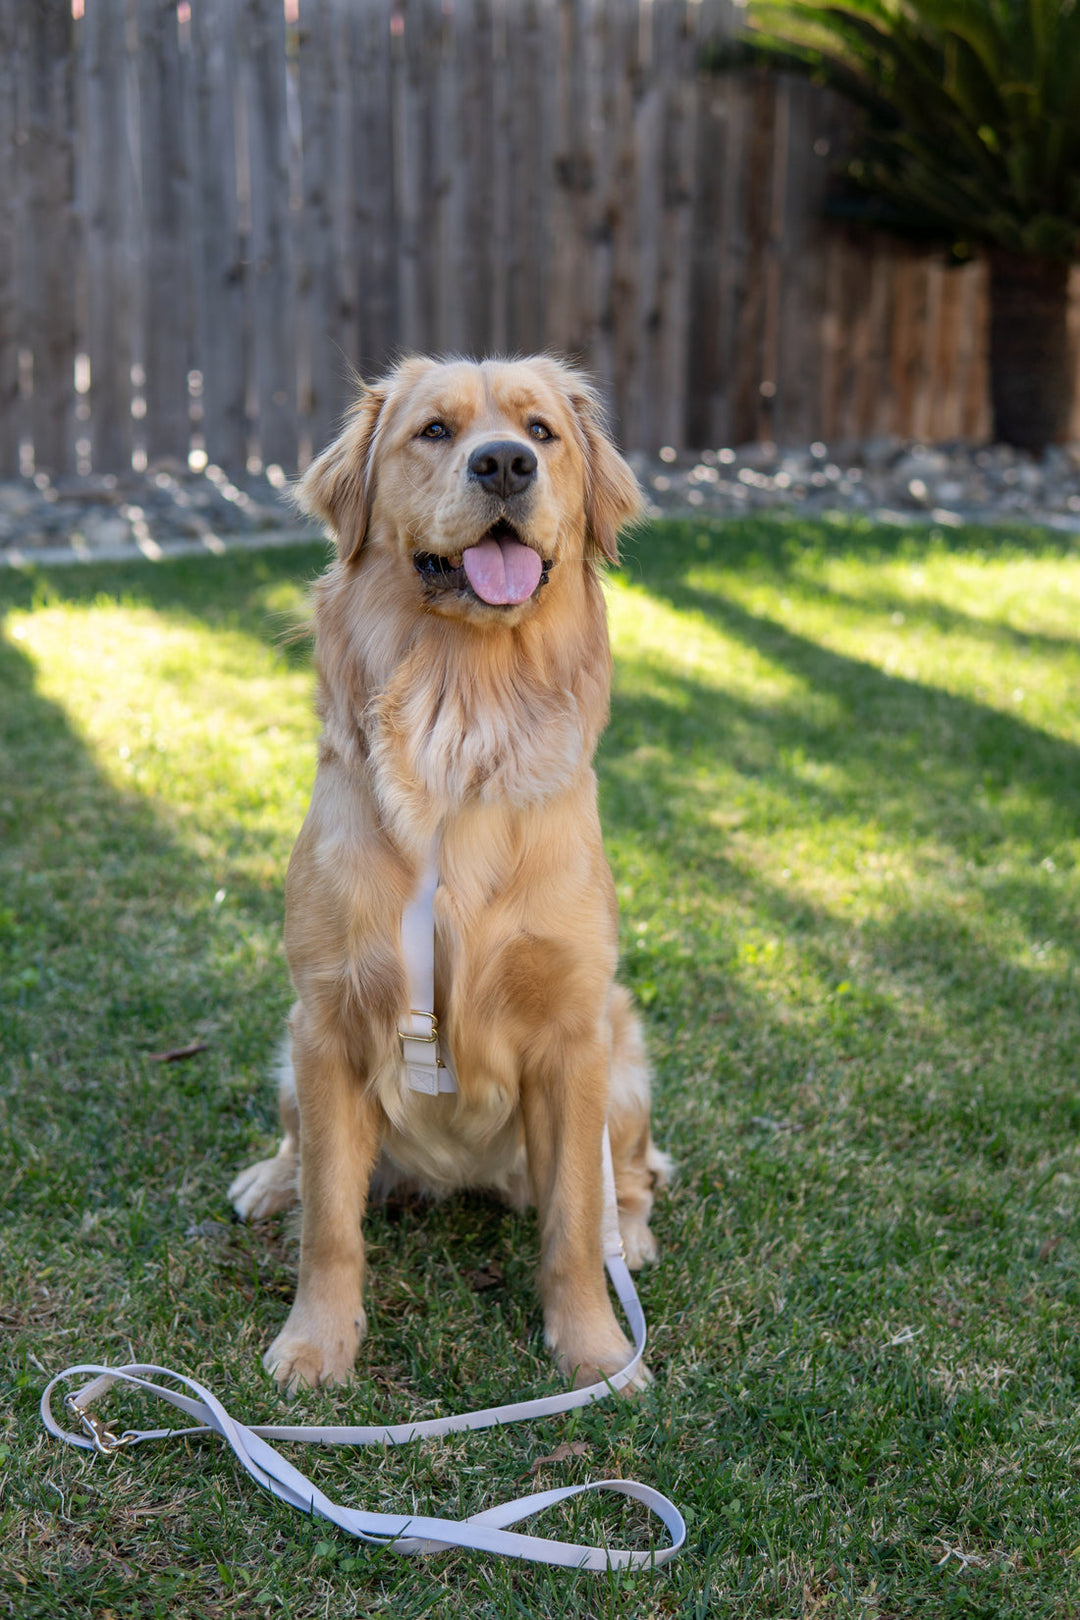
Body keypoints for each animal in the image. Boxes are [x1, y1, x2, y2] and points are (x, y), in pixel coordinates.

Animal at [228, 354, 667, 1393]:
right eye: (434, 430)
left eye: (542, 432)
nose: (503, 464)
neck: (463, 716)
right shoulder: (329, 1020)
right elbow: (330, 1223)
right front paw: (317, 1344)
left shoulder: (574, 1038)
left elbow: (572, 1223)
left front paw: (595, 1351)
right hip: (290, 1049)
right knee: (299, 1148)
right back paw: (270, 1181)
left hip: (626, 1065)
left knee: (626, 1180)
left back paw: (632, 1237)